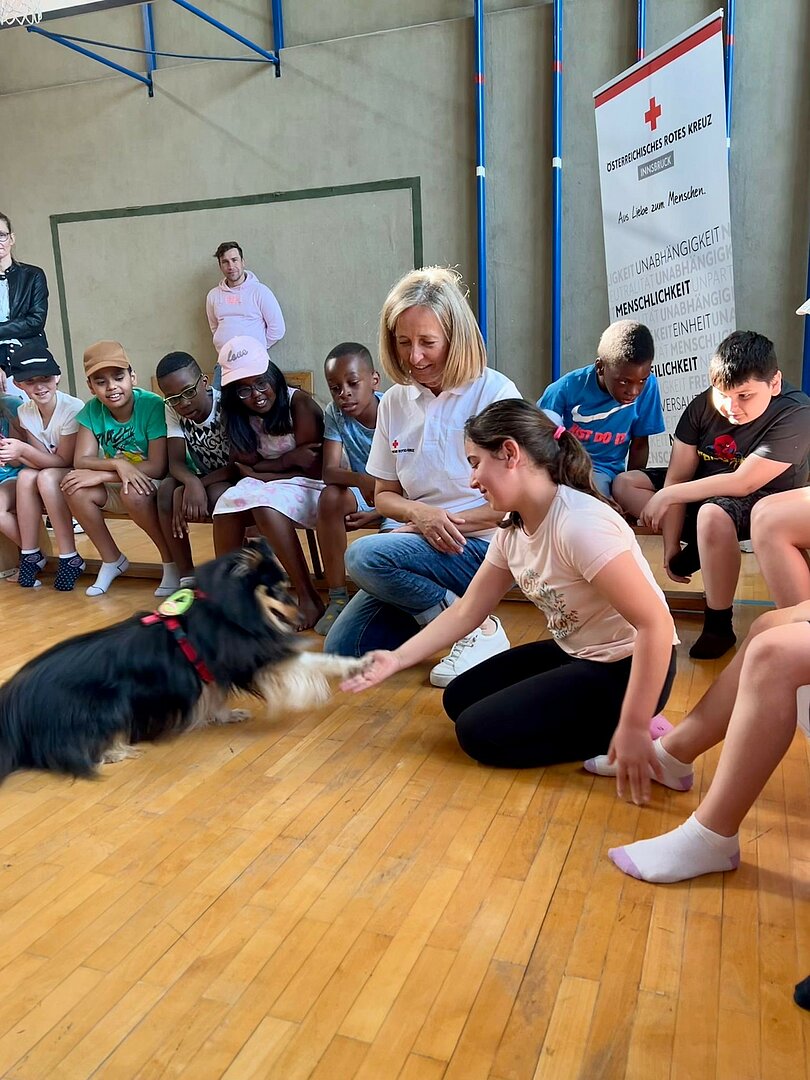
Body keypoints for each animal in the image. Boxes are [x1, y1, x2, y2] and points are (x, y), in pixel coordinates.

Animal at [0, 544, 367, 781]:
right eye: (277, 590)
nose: (303, 617)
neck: (227, 608)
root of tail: (14, 703)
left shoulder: (214, 672)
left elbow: (216, 696)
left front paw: (226, 715)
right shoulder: (257, 656)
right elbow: (315, 660)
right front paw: (353, 664)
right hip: (108, 705)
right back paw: (115, 751)